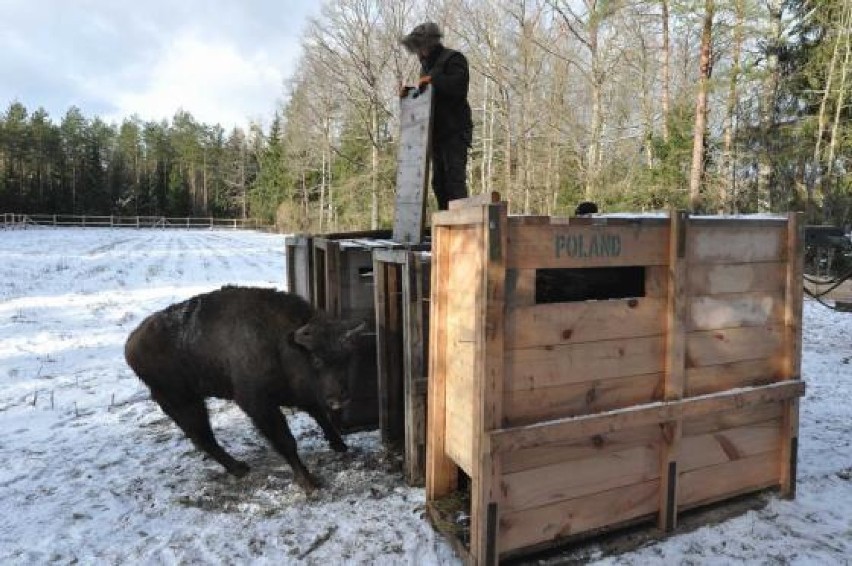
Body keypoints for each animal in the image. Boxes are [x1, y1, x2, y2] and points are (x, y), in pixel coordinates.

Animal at [125, 286, 364, 494]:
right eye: (316, 359)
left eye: (347, 357)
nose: (340, 397)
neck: (280, 343)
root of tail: (131, 345)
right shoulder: (259, 405)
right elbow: (286, 441)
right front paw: (308, 481)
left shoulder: (299, 395)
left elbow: (320, 416)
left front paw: (340, 445)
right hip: (182, 402)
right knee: (203, 437)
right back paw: (239, 468)